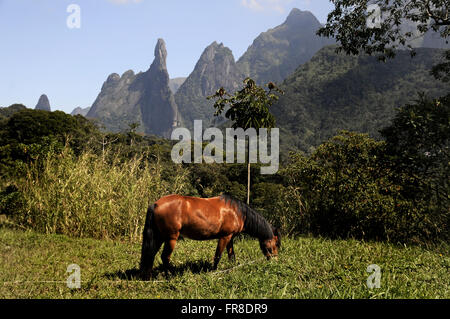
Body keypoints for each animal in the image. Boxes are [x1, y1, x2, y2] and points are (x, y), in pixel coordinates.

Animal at [141, 194, 282, 278]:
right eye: (275, 244)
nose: (276, 261)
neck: (237, 212)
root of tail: (156, 204)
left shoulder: (230, 238)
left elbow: (231, 255)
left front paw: (232, 268)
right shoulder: (225, 237)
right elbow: (217, 256)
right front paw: (214, 271)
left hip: (159, 237)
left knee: (151, 254)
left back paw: (149, 276)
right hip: (171, 238)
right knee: (165, 257)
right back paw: (170, 275)